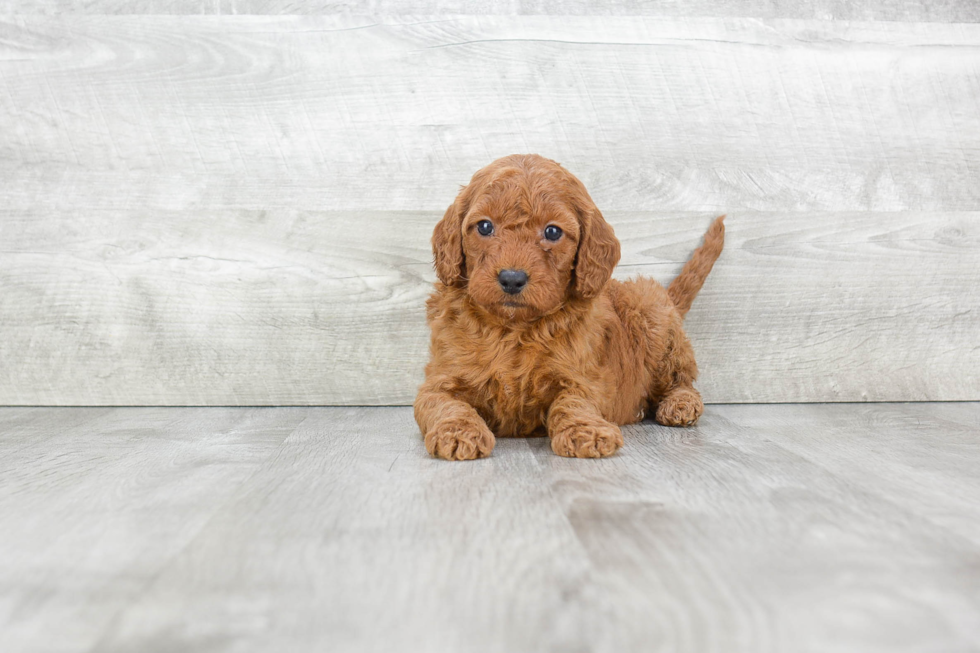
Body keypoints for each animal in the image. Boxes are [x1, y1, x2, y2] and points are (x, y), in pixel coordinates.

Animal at [410, 154, 724, 458]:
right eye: (485, 226)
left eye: (552, 231)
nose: (512, 278)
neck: (513, 328)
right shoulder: (440, 381)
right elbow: (446, 405)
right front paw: (458, 432)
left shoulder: (583, 378)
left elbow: (573, 402)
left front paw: (586, 430)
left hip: (652, 315)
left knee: (681, 378)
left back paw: (680, 403)